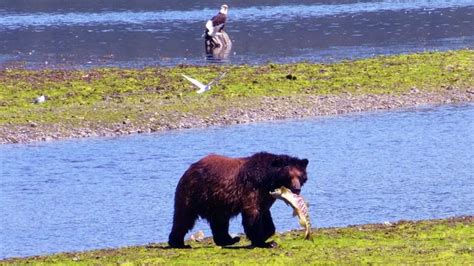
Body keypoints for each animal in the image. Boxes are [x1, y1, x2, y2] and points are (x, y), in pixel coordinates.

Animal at [168, 153, 310, 248]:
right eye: (289, 176)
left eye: (299, 176)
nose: (297, 188)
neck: (267, 179)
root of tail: (188, 170)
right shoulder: (251, 187)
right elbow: (252, 213)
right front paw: (264, 242)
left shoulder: (265, 196)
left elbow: (265, 214)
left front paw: (266, 234)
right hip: (194, 194)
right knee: (184, 217)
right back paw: (178, 243)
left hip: (217, 202)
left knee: (219, 221)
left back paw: (229, 239)